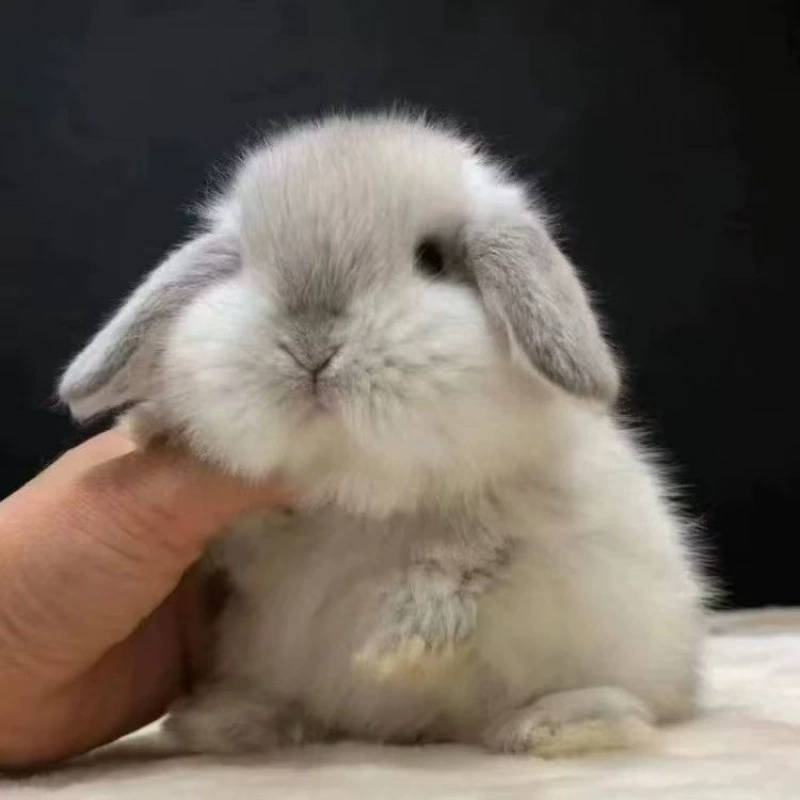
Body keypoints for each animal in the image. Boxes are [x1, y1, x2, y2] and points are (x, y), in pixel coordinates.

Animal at [58, 112, 707, 757]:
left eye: (433, 259)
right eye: (243, 264)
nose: (311, 348)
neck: (361, 494)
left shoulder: (524, 509)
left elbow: (464, 559)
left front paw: (396, 647)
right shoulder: (255, 544)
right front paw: (151, 428)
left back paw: (555, 724)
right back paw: (228, 721)